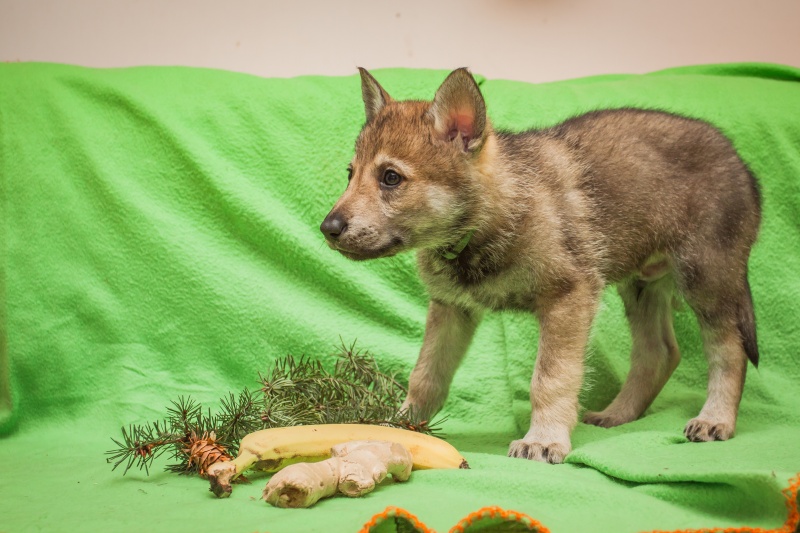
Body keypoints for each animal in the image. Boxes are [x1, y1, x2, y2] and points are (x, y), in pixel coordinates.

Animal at [318, 68, 756, 464]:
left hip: (707, 280)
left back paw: (715, 420)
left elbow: (550, 379)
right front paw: (399, 426)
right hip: (642, 286)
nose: (328, 229)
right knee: (659, 353)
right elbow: (426, 376)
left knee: (728, 351)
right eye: (350, 174)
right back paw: (618, 414)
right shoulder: (450, 309)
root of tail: (744, 166)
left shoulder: (569, 298)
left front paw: (544, 440)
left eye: (391, 178)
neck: (485, 223)